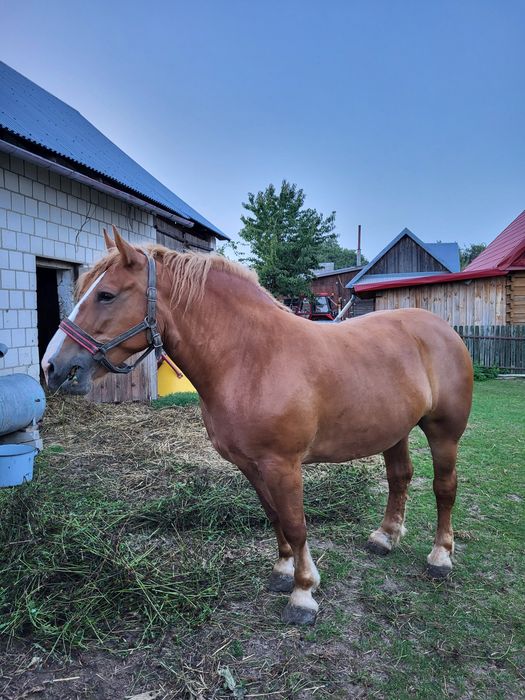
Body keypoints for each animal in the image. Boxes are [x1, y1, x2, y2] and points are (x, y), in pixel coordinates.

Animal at [43, 227, 472, 628]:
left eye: (106, 295)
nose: (53, 366)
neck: (251, 357)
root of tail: (441, 327)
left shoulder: (283, 466)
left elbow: (296, 525)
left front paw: (303, 593)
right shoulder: (250, 464)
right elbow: (273, 516)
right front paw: (282, 572)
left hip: (443, 433)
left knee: (444, 488)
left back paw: (440, 557)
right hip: (394, 431)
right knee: (399, 477)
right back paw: (385, 537)